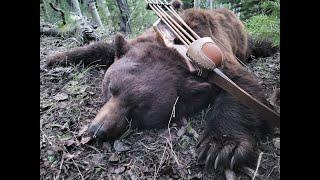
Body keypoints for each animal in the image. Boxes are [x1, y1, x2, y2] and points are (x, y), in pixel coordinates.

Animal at [45, 5, 278, 176]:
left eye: (136, 110)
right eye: (111, 89)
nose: (96, 130)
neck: (178, 48)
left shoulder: (216, 60)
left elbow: (241, 86)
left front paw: (221, 146)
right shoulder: (141, 40)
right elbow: (106, 47)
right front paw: (56, 57)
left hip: (241, 40)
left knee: (251, 46)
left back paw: (268, 46)